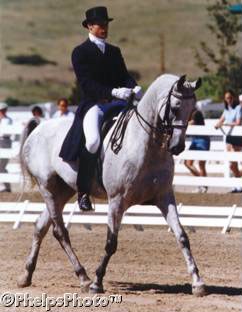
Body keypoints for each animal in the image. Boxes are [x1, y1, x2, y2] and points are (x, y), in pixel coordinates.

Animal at [18, 73, 205, 294]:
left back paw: (27, 275)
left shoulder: (164, 197)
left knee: (41, 227)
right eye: (175, 108)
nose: (177, 146)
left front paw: (198, 283)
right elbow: (111, 242)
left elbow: (182, 236)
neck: (145, 145)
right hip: (47, 188)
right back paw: (84, 278)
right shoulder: (117, 200)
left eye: (192, 110)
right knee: (60, 232)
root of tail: (38, 129)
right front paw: (97, 282)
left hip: (63, 191)